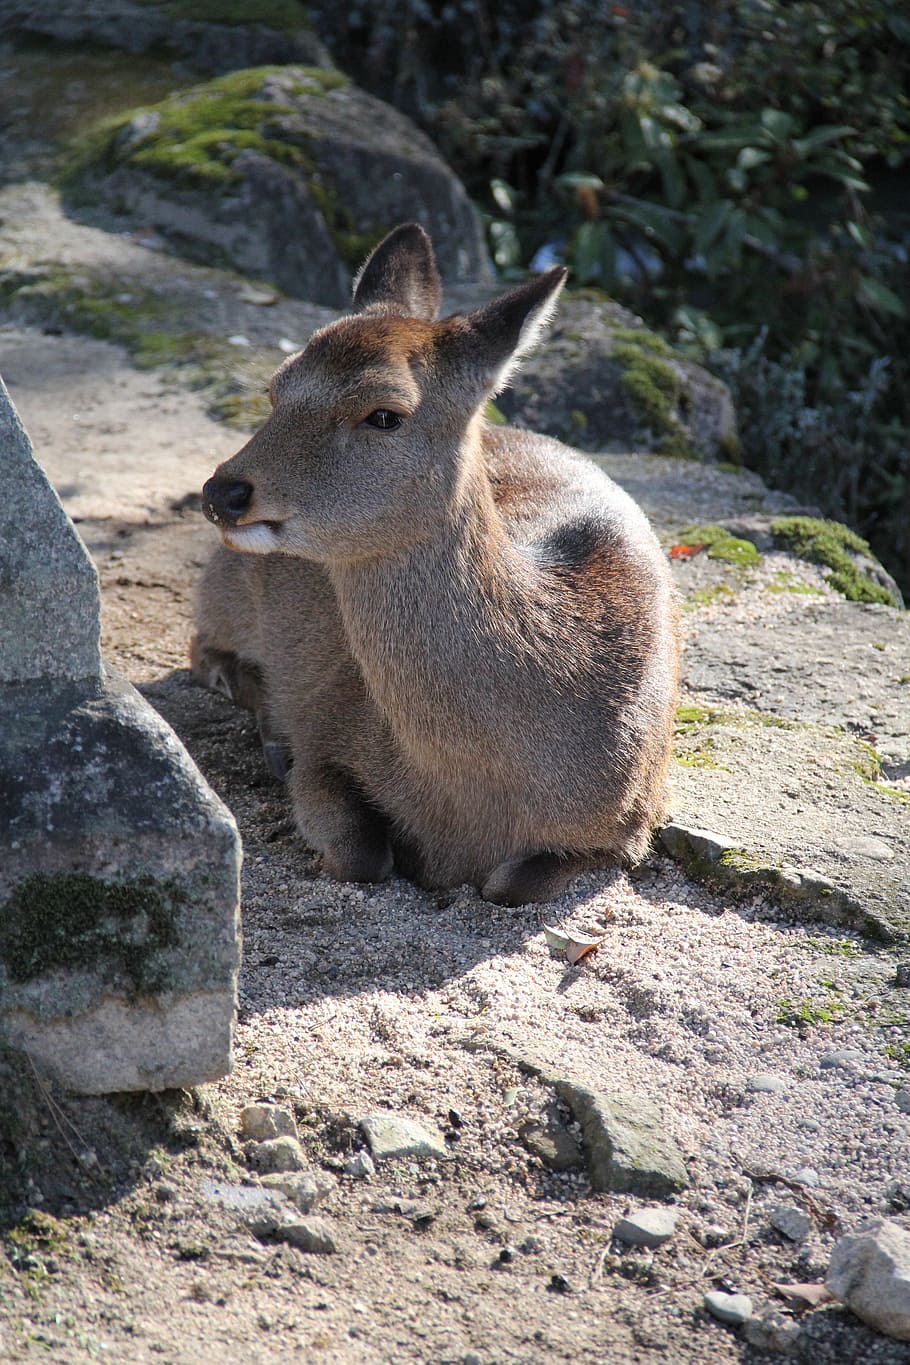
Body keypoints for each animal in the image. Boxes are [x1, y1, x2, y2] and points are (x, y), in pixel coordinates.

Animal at [191, 224, 680, 906]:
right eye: (275, 389)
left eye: (384, 413)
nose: (224, 492)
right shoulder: (328, 733)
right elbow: (361, 853)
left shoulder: (635, 820)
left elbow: (508, 883)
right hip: (227, 589)